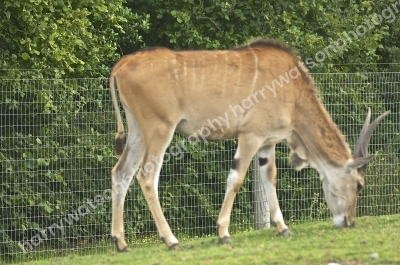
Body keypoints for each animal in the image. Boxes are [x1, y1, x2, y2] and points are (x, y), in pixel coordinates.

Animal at [108, 38, 390, 251]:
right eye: (359, 185)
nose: (349, 221)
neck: (292, 92)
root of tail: (121, 65)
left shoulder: (267, 143)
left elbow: (270, 179)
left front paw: (283, 228)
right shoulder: (250, 135)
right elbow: (236, 179)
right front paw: (223, 233)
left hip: (138, 133)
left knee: (121, 173)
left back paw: (121, 242)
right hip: (159, 130)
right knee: (146, 176)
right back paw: (171, 240)